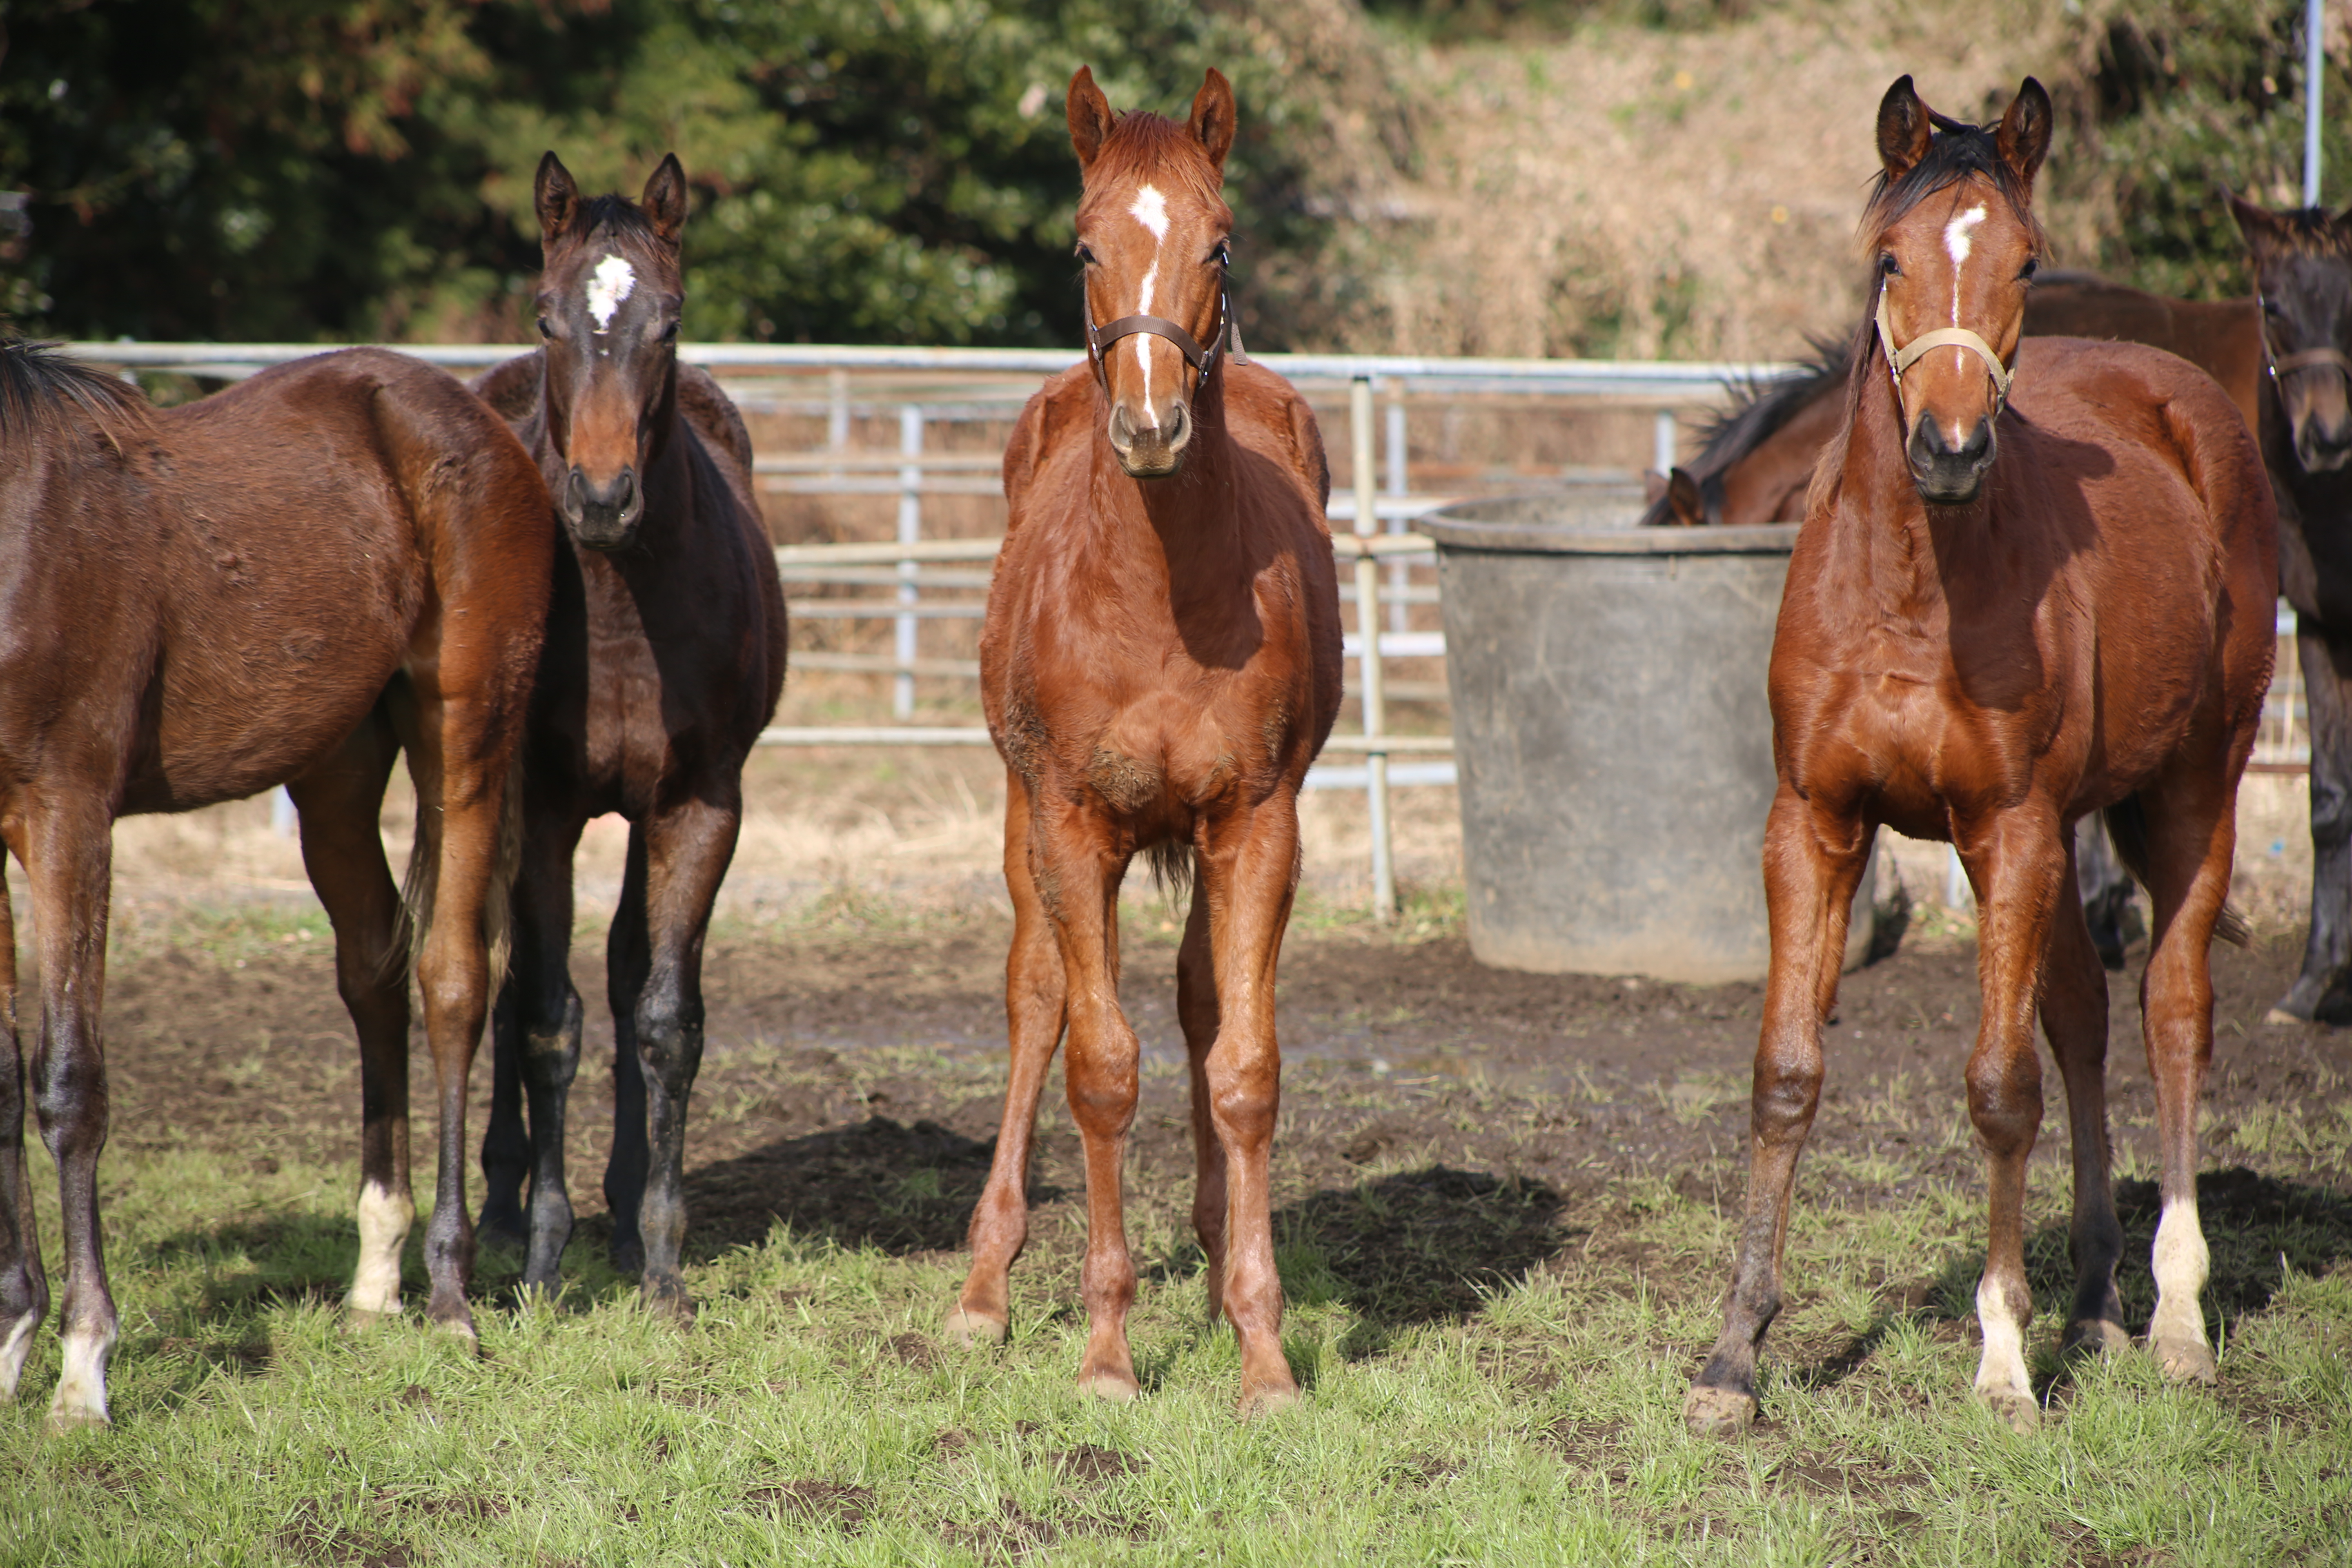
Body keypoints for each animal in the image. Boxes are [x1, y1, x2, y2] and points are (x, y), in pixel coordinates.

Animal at [470, 156, 790, 1316]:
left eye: (671, 320)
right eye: (548, 315)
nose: (603, 499)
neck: (611, 606)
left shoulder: (698, 805)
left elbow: (660, 1017)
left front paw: (658, 1260)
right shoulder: (543, 808)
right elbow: (545, 1020)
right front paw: (540, 1257)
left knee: (618, 970)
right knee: (509, 982)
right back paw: (500, 1204)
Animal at [1684, 80, 2267, 1439]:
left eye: (2027, 261)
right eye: (1888, 259)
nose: (1950, 449)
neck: (1910, 589)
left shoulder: (2005, 826)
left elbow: (2000, 1087)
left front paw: (2001, 1360)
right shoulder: (1815, 819)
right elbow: (1786, 1070)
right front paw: (1733, 1358)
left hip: (2190, 790)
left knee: (2172, 1012)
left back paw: (2176, 1319)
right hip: (2069, 831)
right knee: (2087, 1016)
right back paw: (2096, 1307)